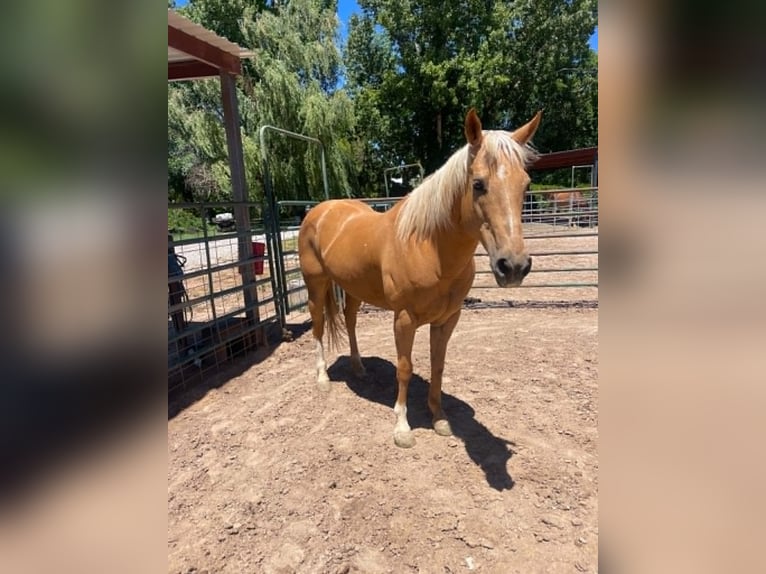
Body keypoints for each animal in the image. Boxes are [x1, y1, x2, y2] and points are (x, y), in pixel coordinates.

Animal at [298, 109, 541, 448]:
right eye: (478, 184)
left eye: (525, 185)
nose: (514, 266)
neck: (429, 247)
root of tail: (318, 211)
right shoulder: (404, 318)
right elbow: (404, 367)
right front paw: (402, 427)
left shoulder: (448, 319)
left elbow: (437, 365)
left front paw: (439, 417)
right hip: (316, 284)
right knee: (318, 324)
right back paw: (322, 378)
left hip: (354, 288)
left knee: (350, 320)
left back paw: (358, 368)